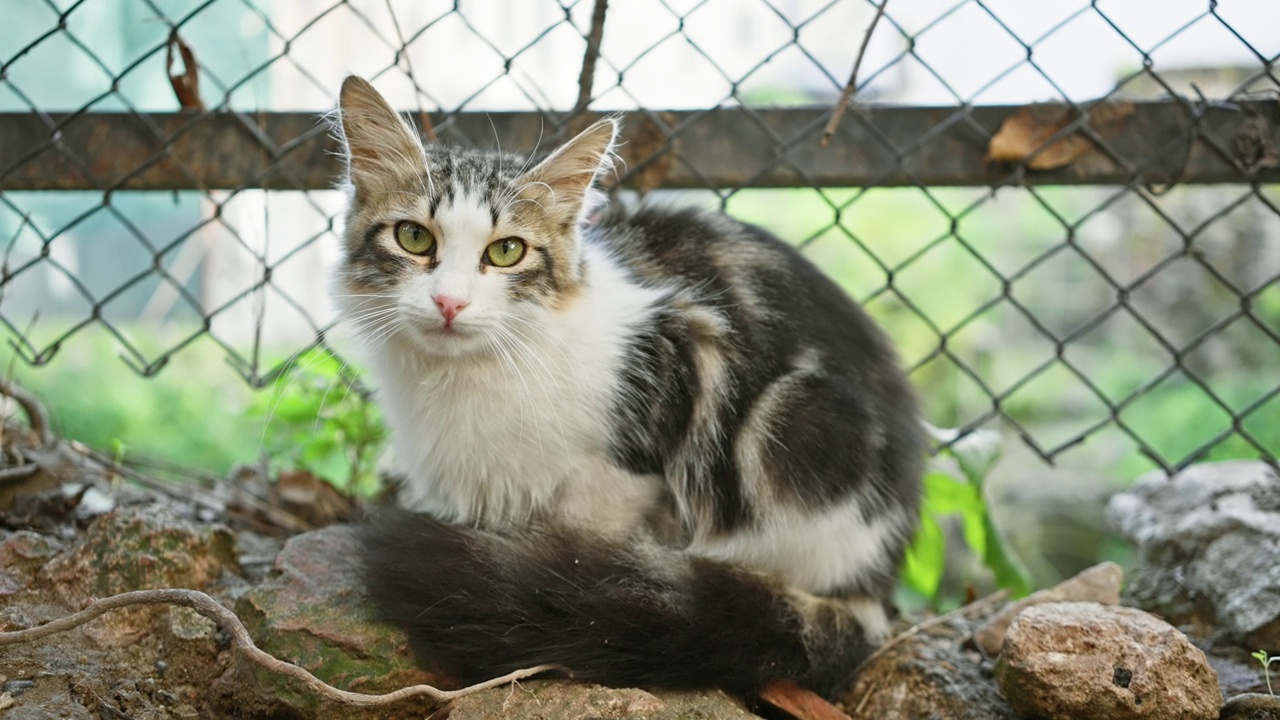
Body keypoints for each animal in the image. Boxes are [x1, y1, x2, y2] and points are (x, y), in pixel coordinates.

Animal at [335, 74, 926, 696]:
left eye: (506, 251)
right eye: (413, 238)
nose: (450, 302)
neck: (463, 378)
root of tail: (879, 585)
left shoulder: (630, 454)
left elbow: (579, 548)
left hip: (802, 424)